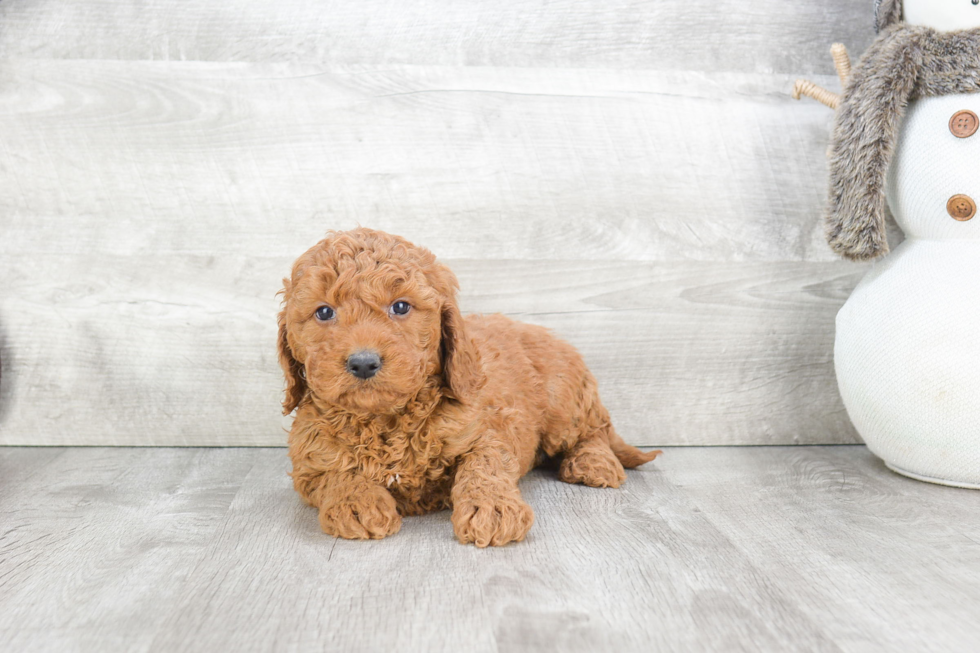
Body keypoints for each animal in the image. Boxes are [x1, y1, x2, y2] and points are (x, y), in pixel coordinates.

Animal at [278, 229, 660, 544]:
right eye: (324, 312)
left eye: (400, 307)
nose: (363, 363)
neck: (385, 419)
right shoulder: (310, 459)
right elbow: (336, 474)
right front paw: (358, 502)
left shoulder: (487, 429)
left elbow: (485, 465)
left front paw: (492, 509)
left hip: (564, 402)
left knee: (593, 431)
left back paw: (594, 463)